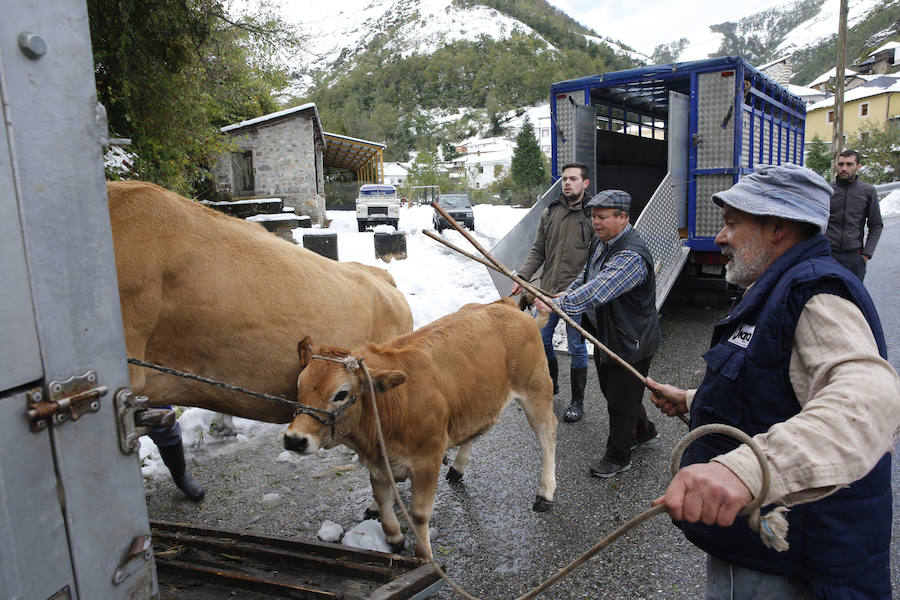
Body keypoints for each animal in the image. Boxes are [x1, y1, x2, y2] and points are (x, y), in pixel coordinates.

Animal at [284, 298, 560, 556]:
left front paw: (423, 552)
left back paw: (545, 493)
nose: (294, 439)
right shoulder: (377, 464)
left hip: (536, 389)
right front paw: (394, 538)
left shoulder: (428, 458)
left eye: (341, 394)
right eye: (299, 386)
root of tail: (506, 305)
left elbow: (419, 513)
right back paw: (457, 468)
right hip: (477, 399)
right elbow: (383, 501)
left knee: (548, 435)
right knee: (475, 430)